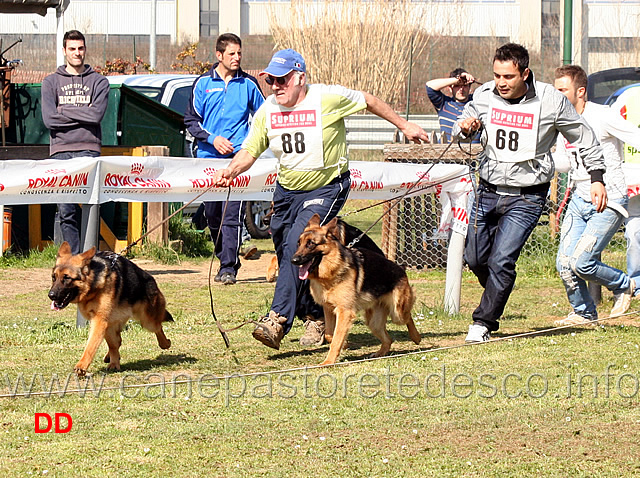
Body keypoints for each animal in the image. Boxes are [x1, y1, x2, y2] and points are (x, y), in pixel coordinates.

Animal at [48, 243, 172, 378]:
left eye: (67, 278)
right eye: (54, 277)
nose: (51, 295)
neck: (93, 287)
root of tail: (149, 278)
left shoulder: (100, 321)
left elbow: (91, 346)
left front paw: (82, 366)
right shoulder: (103, 322)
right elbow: (110, 344)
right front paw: (112, 362)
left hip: (147, 321)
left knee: (158, 327)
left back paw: (165, 343)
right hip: (114, 323)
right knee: (117, 341)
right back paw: (111, 358)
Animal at [290, 215, 420, 364]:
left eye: (311, 244)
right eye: (299, 243)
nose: (293, 260)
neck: (331, 271)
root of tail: (400, 268)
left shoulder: (344, 312)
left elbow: (335, 339)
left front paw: (328, 362)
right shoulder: (328, 309)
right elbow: (330, 334)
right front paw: (345, 344)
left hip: (397, 313)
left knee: (408, 317)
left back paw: (416, 337)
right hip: (373, 322)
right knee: (388, 339)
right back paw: (380, 353)